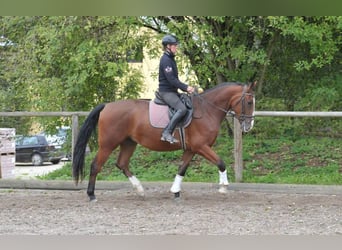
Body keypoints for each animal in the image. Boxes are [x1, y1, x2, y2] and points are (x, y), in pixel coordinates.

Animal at [73, 81, 255, 201]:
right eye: (249, 102)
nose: (249, 125)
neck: (207, 110)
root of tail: (107, 106)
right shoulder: (201, 146)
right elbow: (221, 163)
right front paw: (223, 187)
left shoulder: (191, 149)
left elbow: (182, 168)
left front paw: (175, 191)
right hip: (108, 144)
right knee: (96, 166)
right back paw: (91, 194)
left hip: (129, 142)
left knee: (122, 164)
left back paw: (140, 190)